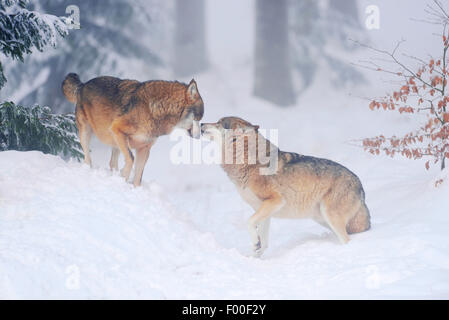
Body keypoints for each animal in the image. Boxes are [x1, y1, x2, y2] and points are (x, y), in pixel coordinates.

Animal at [61, 73, 203, 186]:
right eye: (198, 118)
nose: (200, 135)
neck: (155, 110)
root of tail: (82, 85)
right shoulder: (117, 129)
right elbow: (130, 158)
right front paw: (123, 176)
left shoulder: (144, 149)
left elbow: (138, 176)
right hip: (87, 134)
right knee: (88, 158)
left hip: (115, 143)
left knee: (112, 163)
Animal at [201, 117, 370, 258]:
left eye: (220, 123)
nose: (201, 124)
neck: (248, 161)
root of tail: (360, 186)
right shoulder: (263, 209)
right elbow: (263, 242)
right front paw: (255, 257)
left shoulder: (275, 201)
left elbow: (249, 223)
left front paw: (255, 244)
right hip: (323, 219)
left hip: (330, 216)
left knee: (347, 240)